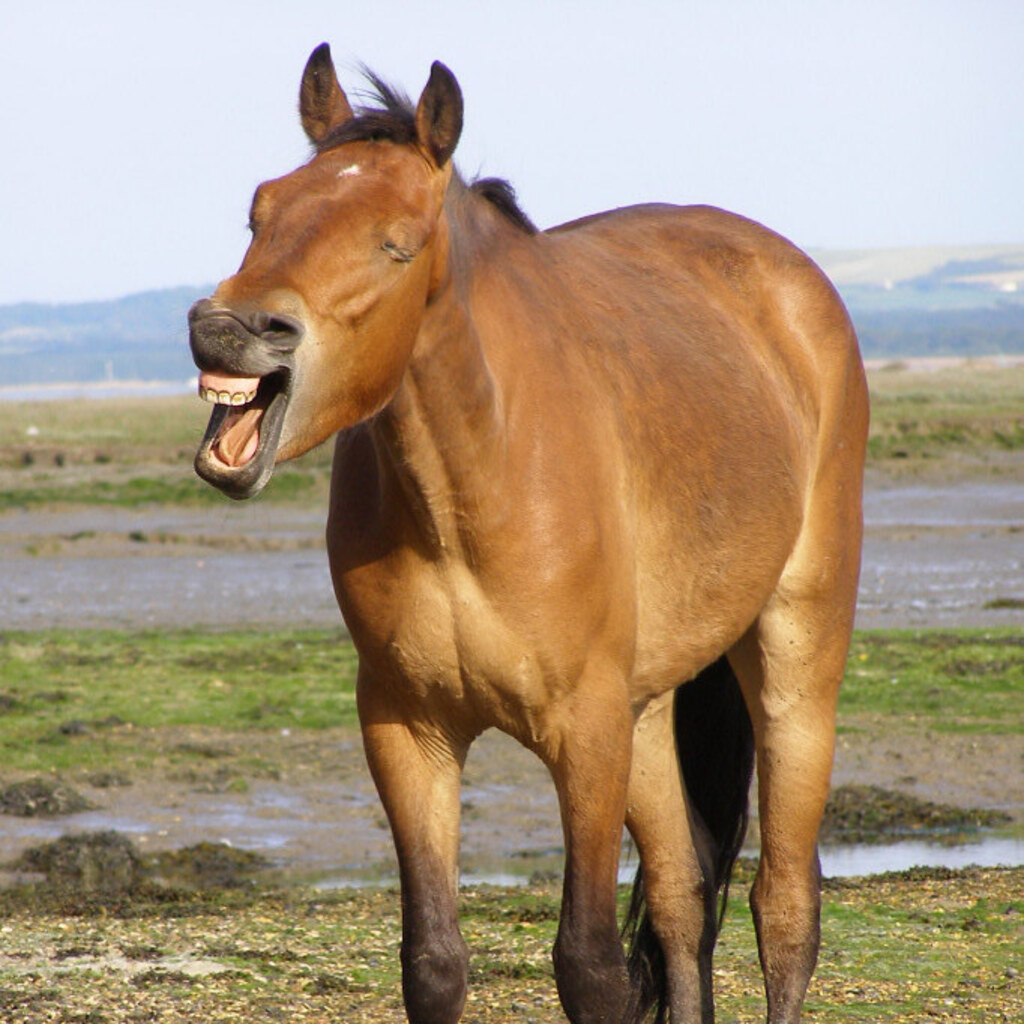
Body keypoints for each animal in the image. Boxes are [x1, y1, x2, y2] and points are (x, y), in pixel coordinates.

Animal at [189, 43, 868, 1024]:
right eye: (260, 210)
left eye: (396, 242)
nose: (229, 330)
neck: (470, 492)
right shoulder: (410, 728)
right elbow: (433, 962)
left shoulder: (584, 733)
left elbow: (588, 963)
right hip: (648, 711)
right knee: (682, 895)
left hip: (794, 659)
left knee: (783, 904)